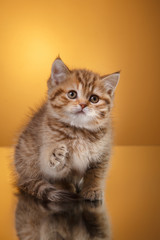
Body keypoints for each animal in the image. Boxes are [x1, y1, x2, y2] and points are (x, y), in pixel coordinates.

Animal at [14, 57, 120, 201]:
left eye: (94, 98)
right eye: (72, 94)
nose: (83, 105)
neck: (79, 130)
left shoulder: (103, 152)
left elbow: (96, 174)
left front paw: (92, 189)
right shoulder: (46, 146)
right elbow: (57, 173)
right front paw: (64, 181)